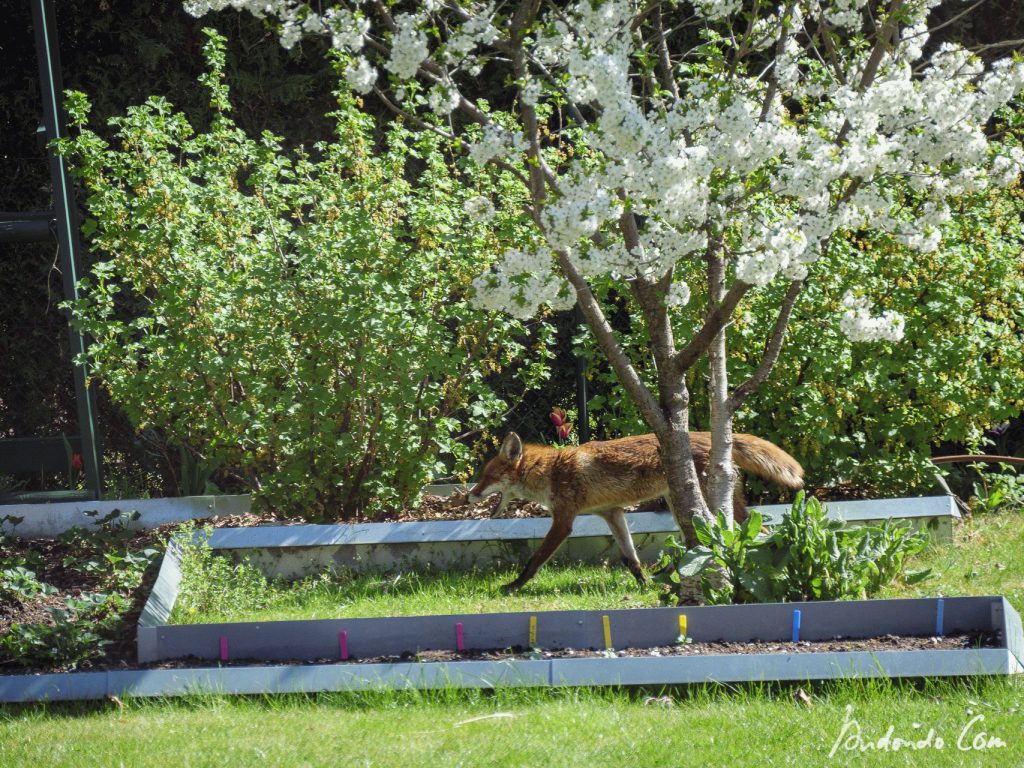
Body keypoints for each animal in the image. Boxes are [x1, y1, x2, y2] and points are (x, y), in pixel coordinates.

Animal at [468, 436, 802, 593]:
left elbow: (534, 561)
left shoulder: (564, 520)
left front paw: (513, 586)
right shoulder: (611, 513)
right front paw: (643, 584)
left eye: (487, 476)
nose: (469, 495)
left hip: (696, 505)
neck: (550, 471)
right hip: (685, 504)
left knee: (757, 535)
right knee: (694, 546)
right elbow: (630, 557)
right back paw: (665, 574)